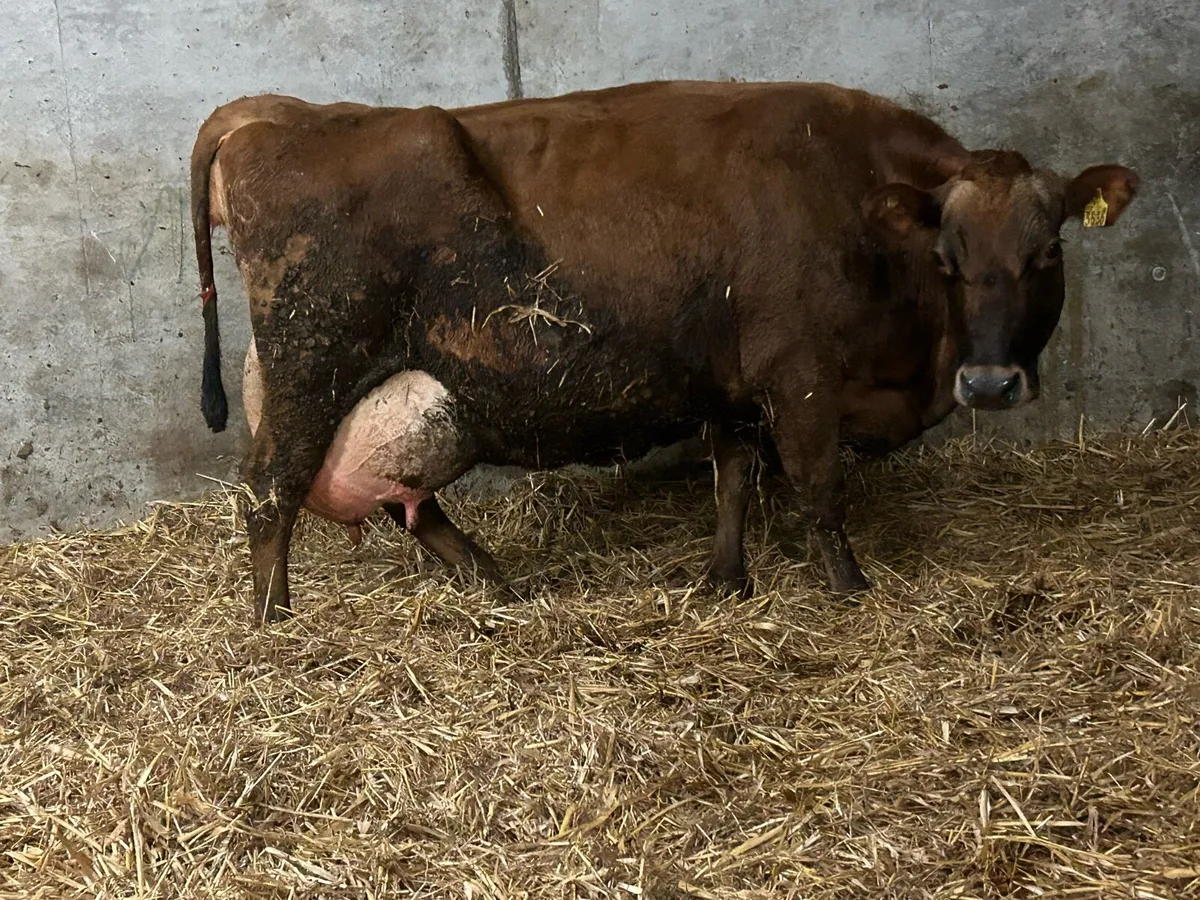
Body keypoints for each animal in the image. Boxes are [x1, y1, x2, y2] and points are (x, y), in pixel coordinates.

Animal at [190, 81, 1137, 623]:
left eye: (1047, 250)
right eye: (948, 256)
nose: (990, 382)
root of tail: (278, 113)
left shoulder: (732, 383)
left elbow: (732, 479)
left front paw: (725, 579)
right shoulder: (799, 378)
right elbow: (817, 489)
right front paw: (848, 590)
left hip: (395, 388)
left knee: (403, 499)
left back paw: (494, 584)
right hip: (312, 363)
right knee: (270, 492)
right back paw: (276, 624)